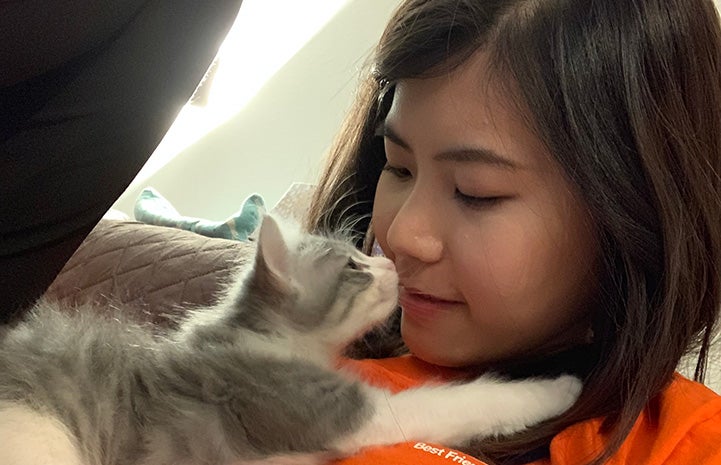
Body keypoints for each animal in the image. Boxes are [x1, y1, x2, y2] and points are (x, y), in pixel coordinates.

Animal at [0, 215, 580, 464]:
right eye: (354, 266)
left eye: (364, 254)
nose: (391, 262)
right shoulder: (328, 409)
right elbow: (463, 401)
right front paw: (559, 388)